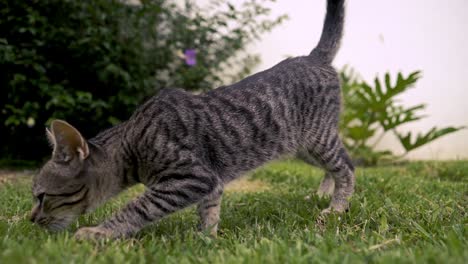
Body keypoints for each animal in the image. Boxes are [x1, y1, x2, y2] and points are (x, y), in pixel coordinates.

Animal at [31, 0, 352, 239]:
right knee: (332, 168)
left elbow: (137, 208)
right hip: (301, 148)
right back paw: (322, 195)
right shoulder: (212, 182)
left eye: (42, 196)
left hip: (319, 139)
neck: (133, 141)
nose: (30, 219)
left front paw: (99, 233)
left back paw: (336, 208)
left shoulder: (192, 177)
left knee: (347, 165)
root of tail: (313, 57)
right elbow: (209, 212)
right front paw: (206, 240)